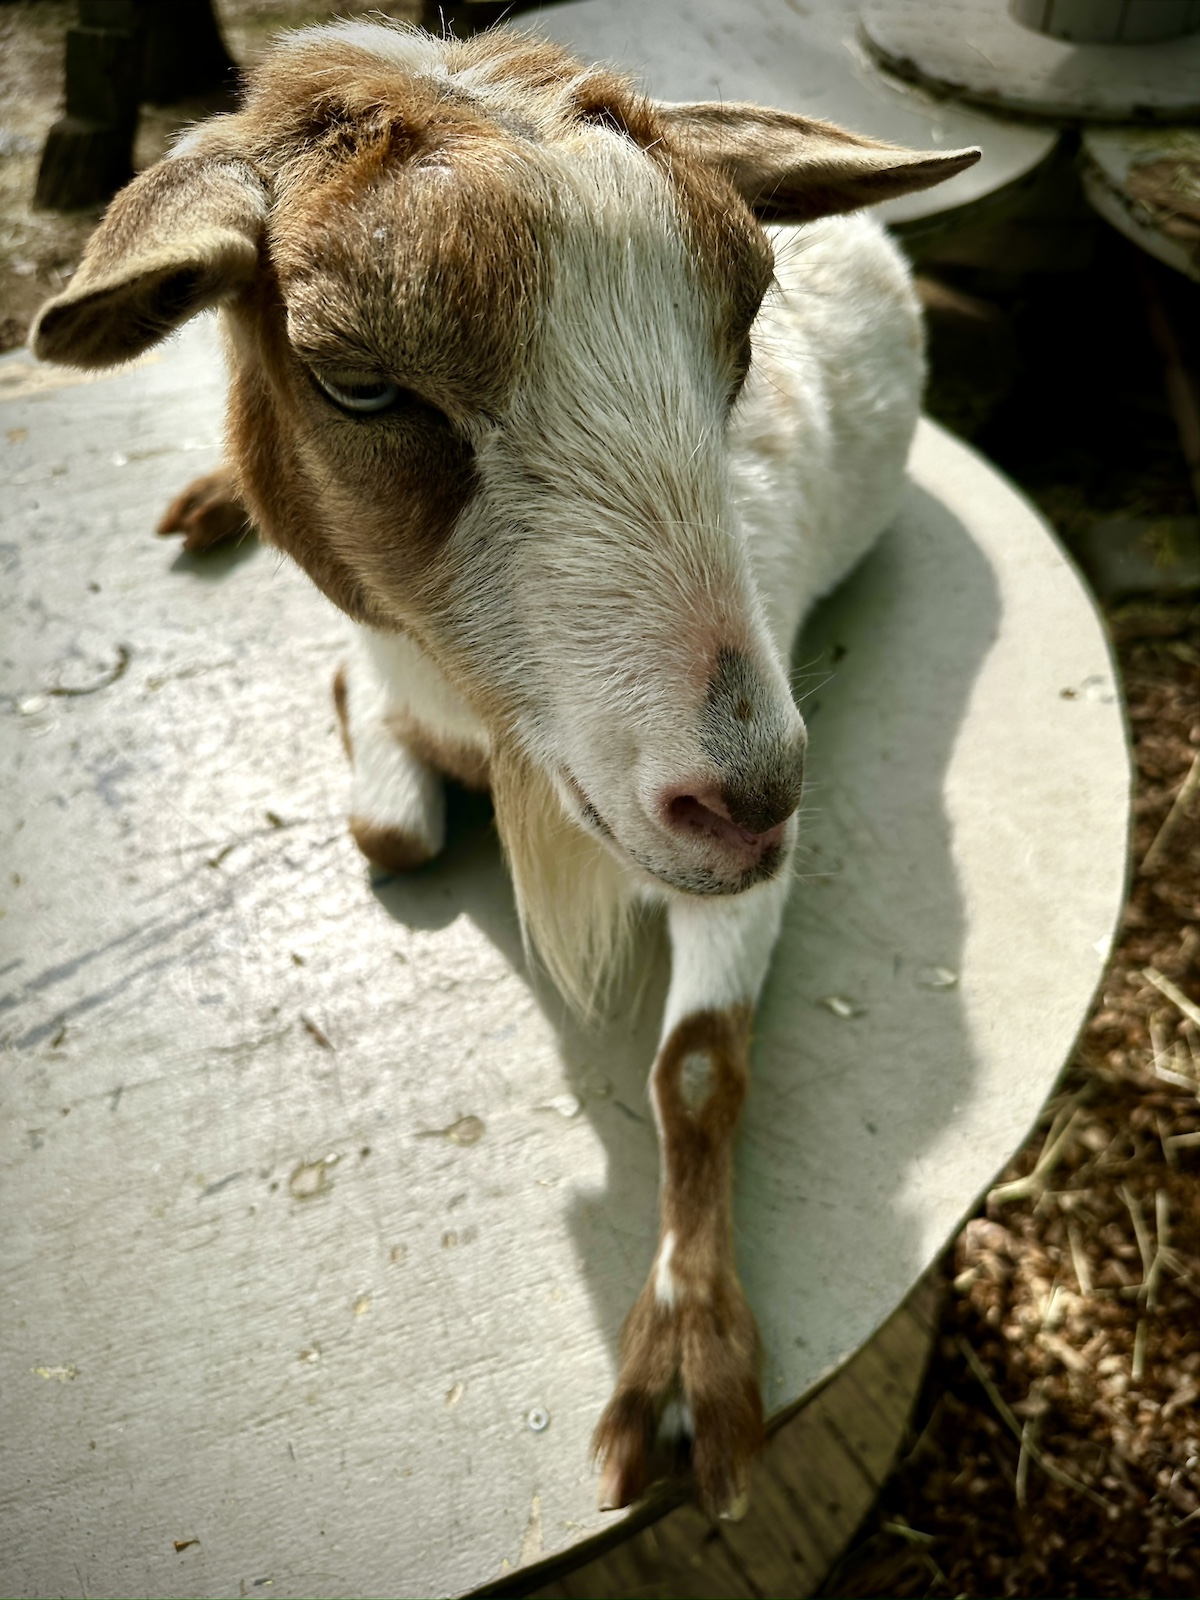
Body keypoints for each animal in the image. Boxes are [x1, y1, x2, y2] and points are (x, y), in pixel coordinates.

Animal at [32, 19, 978, 1520]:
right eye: (359, 382)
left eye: (743, 332)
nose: (753, 793)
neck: (468, 710)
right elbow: (391, 825)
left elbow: (694, 1068)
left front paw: (687, 1362)